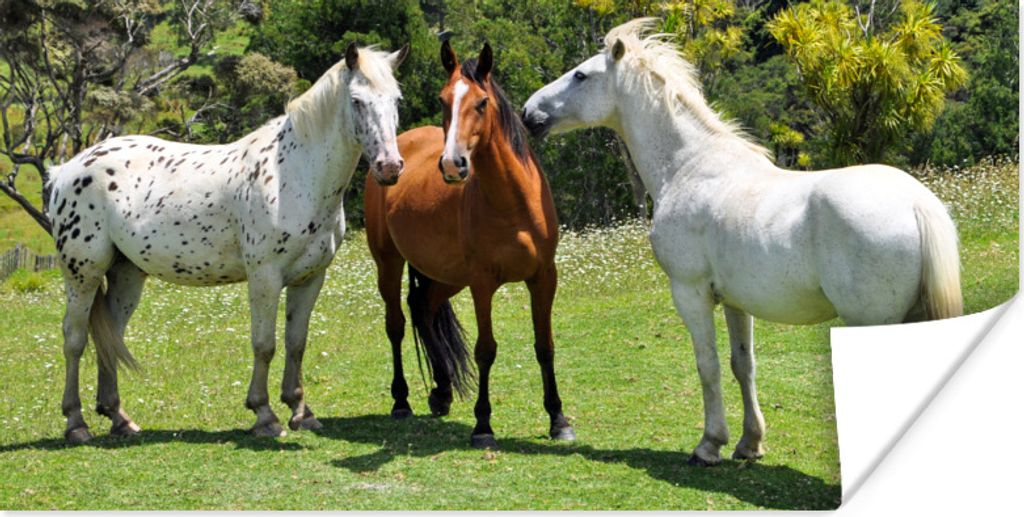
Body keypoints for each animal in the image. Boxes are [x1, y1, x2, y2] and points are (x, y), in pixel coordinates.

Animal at [48, 42, 409, 444]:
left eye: (396, 99)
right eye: (357, 101)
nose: (390, 167)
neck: (293, 172)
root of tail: (65, 170)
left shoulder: (309, 279)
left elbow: (296, 343)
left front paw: (301, 411)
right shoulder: (265, 278)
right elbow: (264, 345)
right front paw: (264, 415)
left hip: (126, 276)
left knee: (110, 337)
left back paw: (119, 418)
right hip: (83, 275)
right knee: (75, 339)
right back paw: (76, 423)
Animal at [364, 41, 575, 449]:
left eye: (481, 102)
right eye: (443, 99)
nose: (452, 164)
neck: (513, 203)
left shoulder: (544, 277)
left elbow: (545, 346)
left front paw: (558, 419)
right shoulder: (482, 283)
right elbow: (485, 350)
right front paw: (483, 425)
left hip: (447, 276)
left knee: (424, 307)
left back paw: (442, 392)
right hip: (390, 263)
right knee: (396, 325)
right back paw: (401, 401)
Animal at [522, 19, 962, 466]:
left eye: (580, 75)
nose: (528, 113)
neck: (688, 166)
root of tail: (916, 204)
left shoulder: (690, 293)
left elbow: (709, 365)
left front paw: (709, 444)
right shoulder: (736, 301)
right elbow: (742, 365)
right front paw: (749, 443)